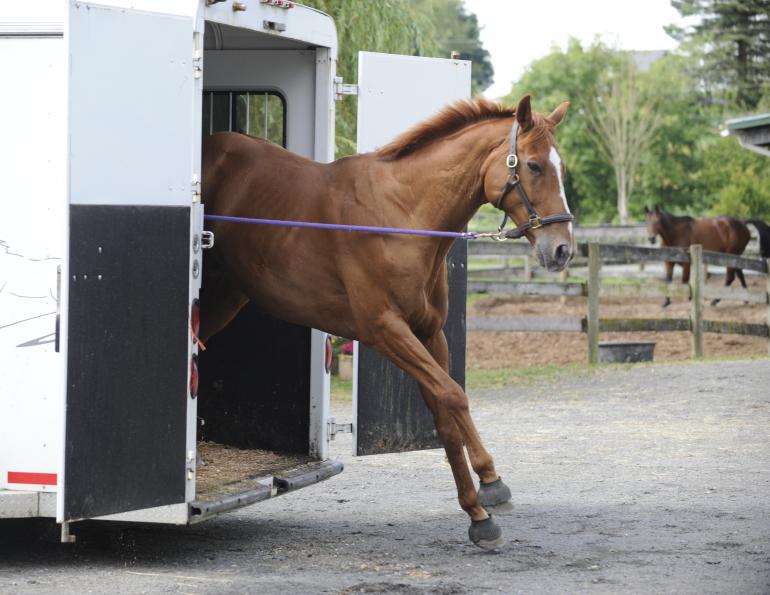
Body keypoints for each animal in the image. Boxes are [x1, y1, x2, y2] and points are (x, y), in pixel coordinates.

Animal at [200, 95, 575, 549]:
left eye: (560, 167)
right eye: (534, 166)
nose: (562, 250)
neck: (403, 217)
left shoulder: (429, 334)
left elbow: (444, 411)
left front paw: (481, 504)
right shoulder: (384, 331)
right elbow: (454, 397)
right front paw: (488, 493)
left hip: (226, 297)